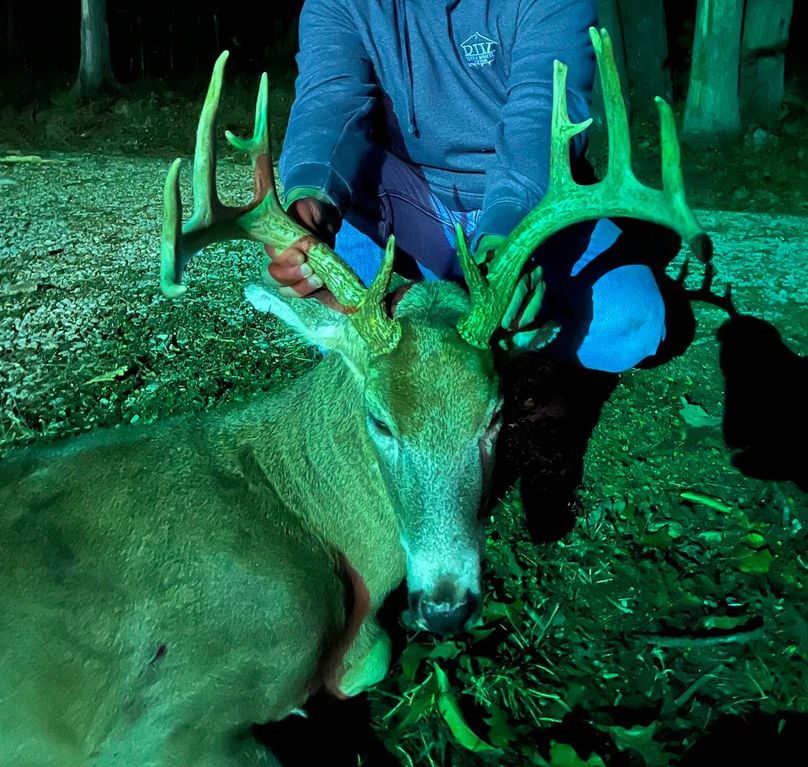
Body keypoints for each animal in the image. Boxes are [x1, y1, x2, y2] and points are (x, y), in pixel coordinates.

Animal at [0, 28, 710, 767]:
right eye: (381, 421)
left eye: (496, 417)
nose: (446, 604)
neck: (296, 508)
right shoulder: (157, 723)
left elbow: (369, 659)